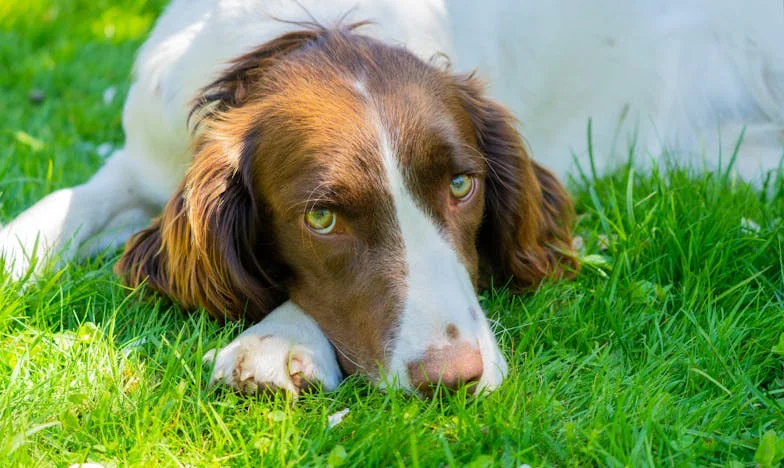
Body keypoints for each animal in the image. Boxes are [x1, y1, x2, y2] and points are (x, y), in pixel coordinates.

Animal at [1, 0, 784, 396]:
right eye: (321, 218)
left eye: (462, 185)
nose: (453, 379)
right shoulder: (142, 159)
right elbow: (60, 207)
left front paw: (274, 342)